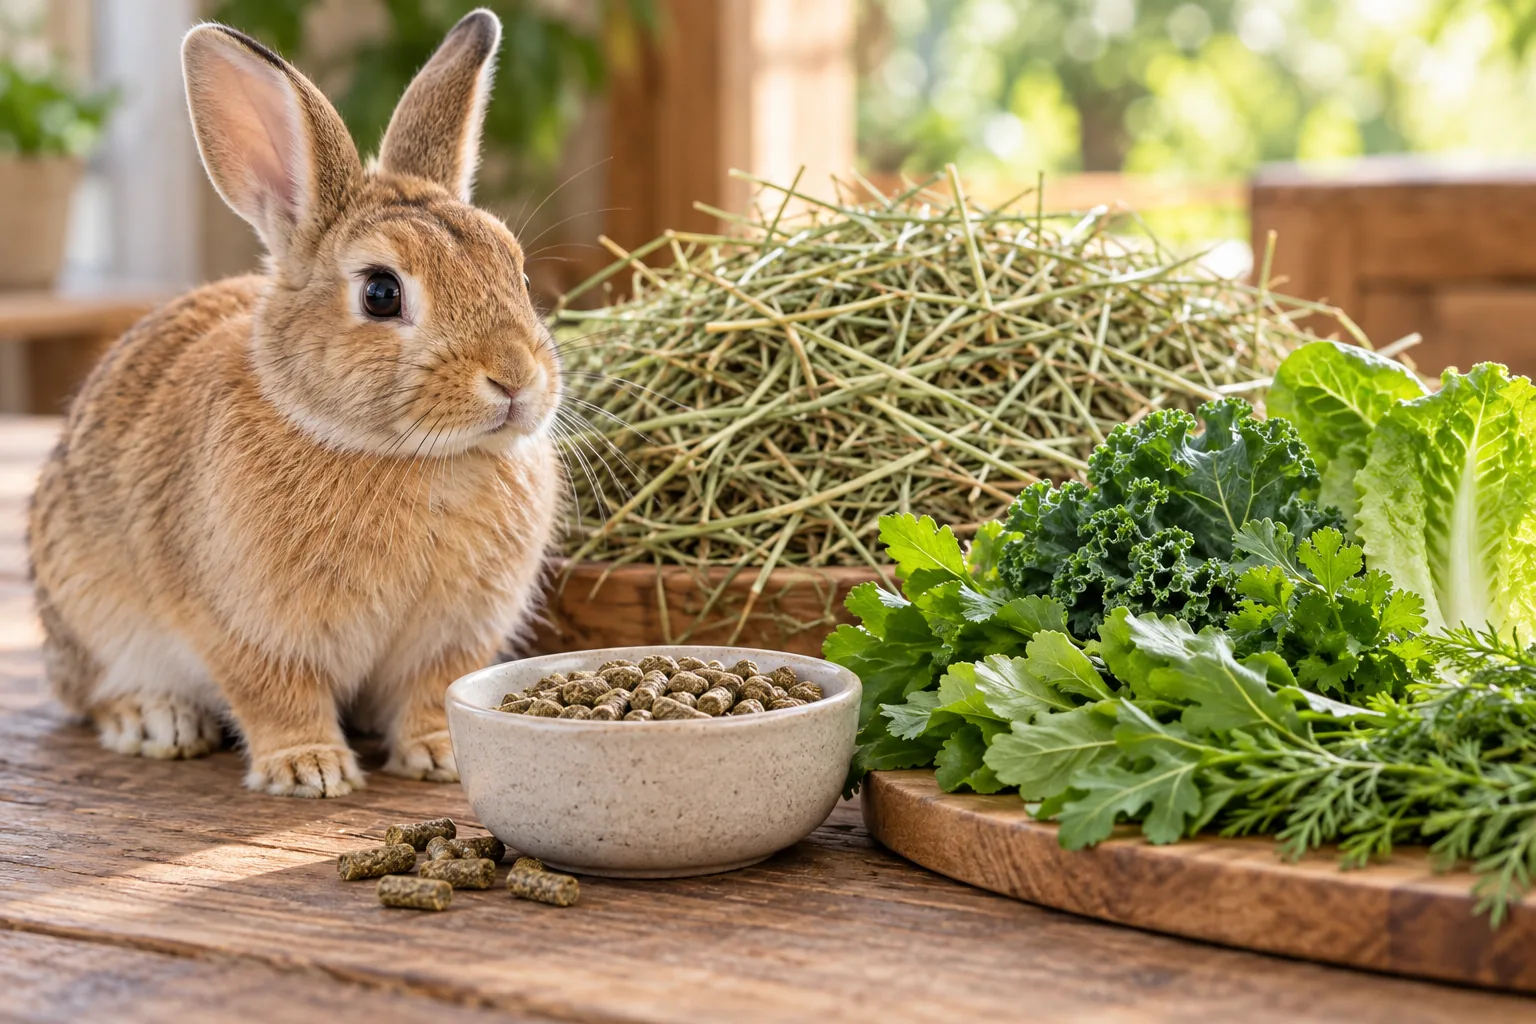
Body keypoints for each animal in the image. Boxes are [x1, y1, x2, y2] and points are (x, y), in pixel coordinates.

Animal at [25, 9, 564, 797]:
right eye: (381, 292)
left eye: (516, 271)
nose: (516, 379)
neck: (407, 456)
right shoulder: (245, 628)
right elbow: (277, 694)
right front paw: (310, 770)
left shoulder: (453, 638)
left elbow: (431, 692)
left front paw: (439, 755)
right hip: (89, 614)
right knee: (92, 694)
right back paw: (156, 721)